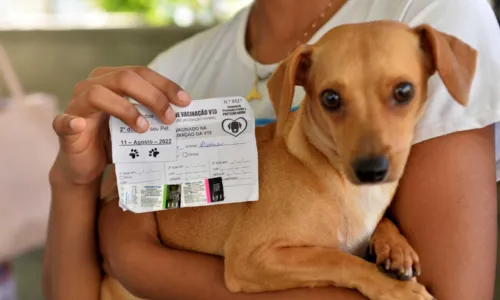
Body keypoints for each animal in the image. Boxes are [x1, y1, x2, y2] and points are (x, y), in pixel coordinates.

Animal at [97, 19, 476, 298]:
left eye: (404, 91)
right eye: (330, 98)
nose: (371, 171)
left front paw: (394, 247)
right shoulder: (251, 258)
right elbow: (335, 258)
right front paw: (389, 286)